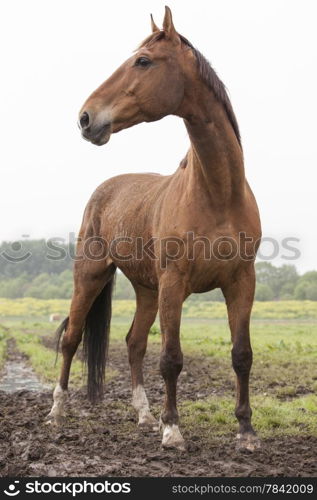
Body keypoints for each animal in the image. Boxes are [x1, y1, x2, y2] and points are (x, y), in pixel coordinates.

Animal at [48, 6, 260, 454]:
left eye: (143, 61)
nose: (85, 118)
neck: (218, 194)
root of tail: (105, 188)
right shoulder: (174, 283)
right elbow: (171, 358)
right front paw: (173, 430)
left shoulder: (241, 282)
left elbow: (241, 354)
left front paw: (246, 432)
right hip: (90, 276)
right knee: (71, 339)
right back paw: (57, 412)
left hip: (146, 289)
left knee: (134, 342)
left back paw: (143, 414)